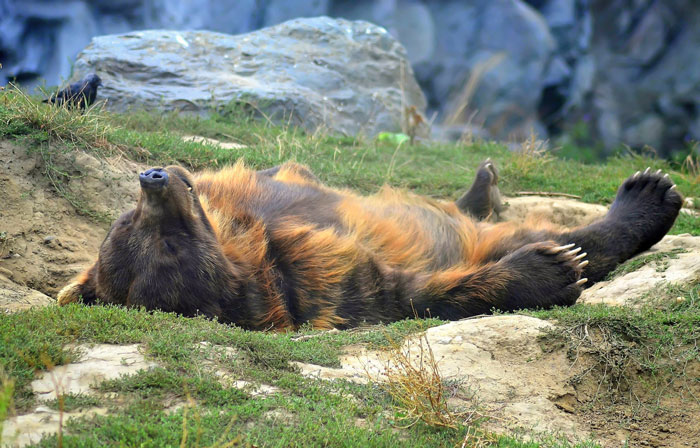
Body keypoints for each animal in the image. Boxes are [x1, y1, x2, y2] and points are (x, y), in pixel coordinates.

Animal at [56, 161, 682, 331]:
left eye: (122, 224)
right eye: (163, 246)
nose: (153, 178)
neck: (247, 240)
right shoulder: (317, 281)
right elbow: (415, 294)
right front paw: (549, 270)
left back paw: (483, 185)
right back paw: (643, 198)